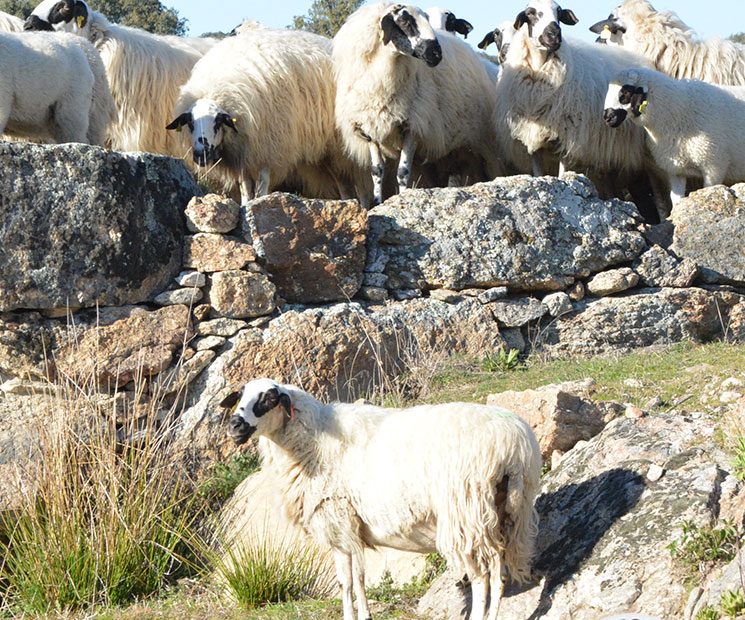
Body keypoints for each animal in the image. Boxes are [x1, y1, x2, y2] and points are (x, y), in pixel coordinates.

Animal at [166, 29, 368, 206]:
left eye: (218, 123)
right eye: (190, 123)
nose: (201, 155)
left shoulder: (267, 150)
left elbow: (261, 189)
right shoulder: (244, 154)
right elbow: (245, 189)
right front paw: (245, 207)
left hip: (344, 150)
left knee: (360, 184)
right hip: (328, 154)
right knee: (345, 185)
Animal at [223, 378, 541, 620]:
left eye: (269, 398)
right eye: (240, 396)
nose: (235, 426)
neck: (312, 441)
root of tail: (513, 448)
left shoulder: (338, 520)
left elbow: (350, 580)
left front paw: (356, 616)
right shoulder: (349, 526)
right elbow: (354, 579)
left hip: (464, 513)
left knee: (480, 577)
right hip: (507, 513)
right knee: (498, 575)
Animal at [333, 3, 503, 206]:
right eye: (405, 22)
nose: (436, 54)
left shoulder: (413, 127)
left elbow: (403, 172)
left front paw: (402, 199)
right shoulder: (370, 129)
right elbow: (377, 171)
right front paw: (378, 201)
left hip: (473, 148)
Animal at [492, 0, 669, 222]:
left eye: (559, 13)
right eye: (531, 13)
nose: (554, 36)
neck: (540, 72)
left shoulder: (568, 138)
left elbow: (562, 177)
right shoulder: (533, 139)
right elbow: (539, 175)